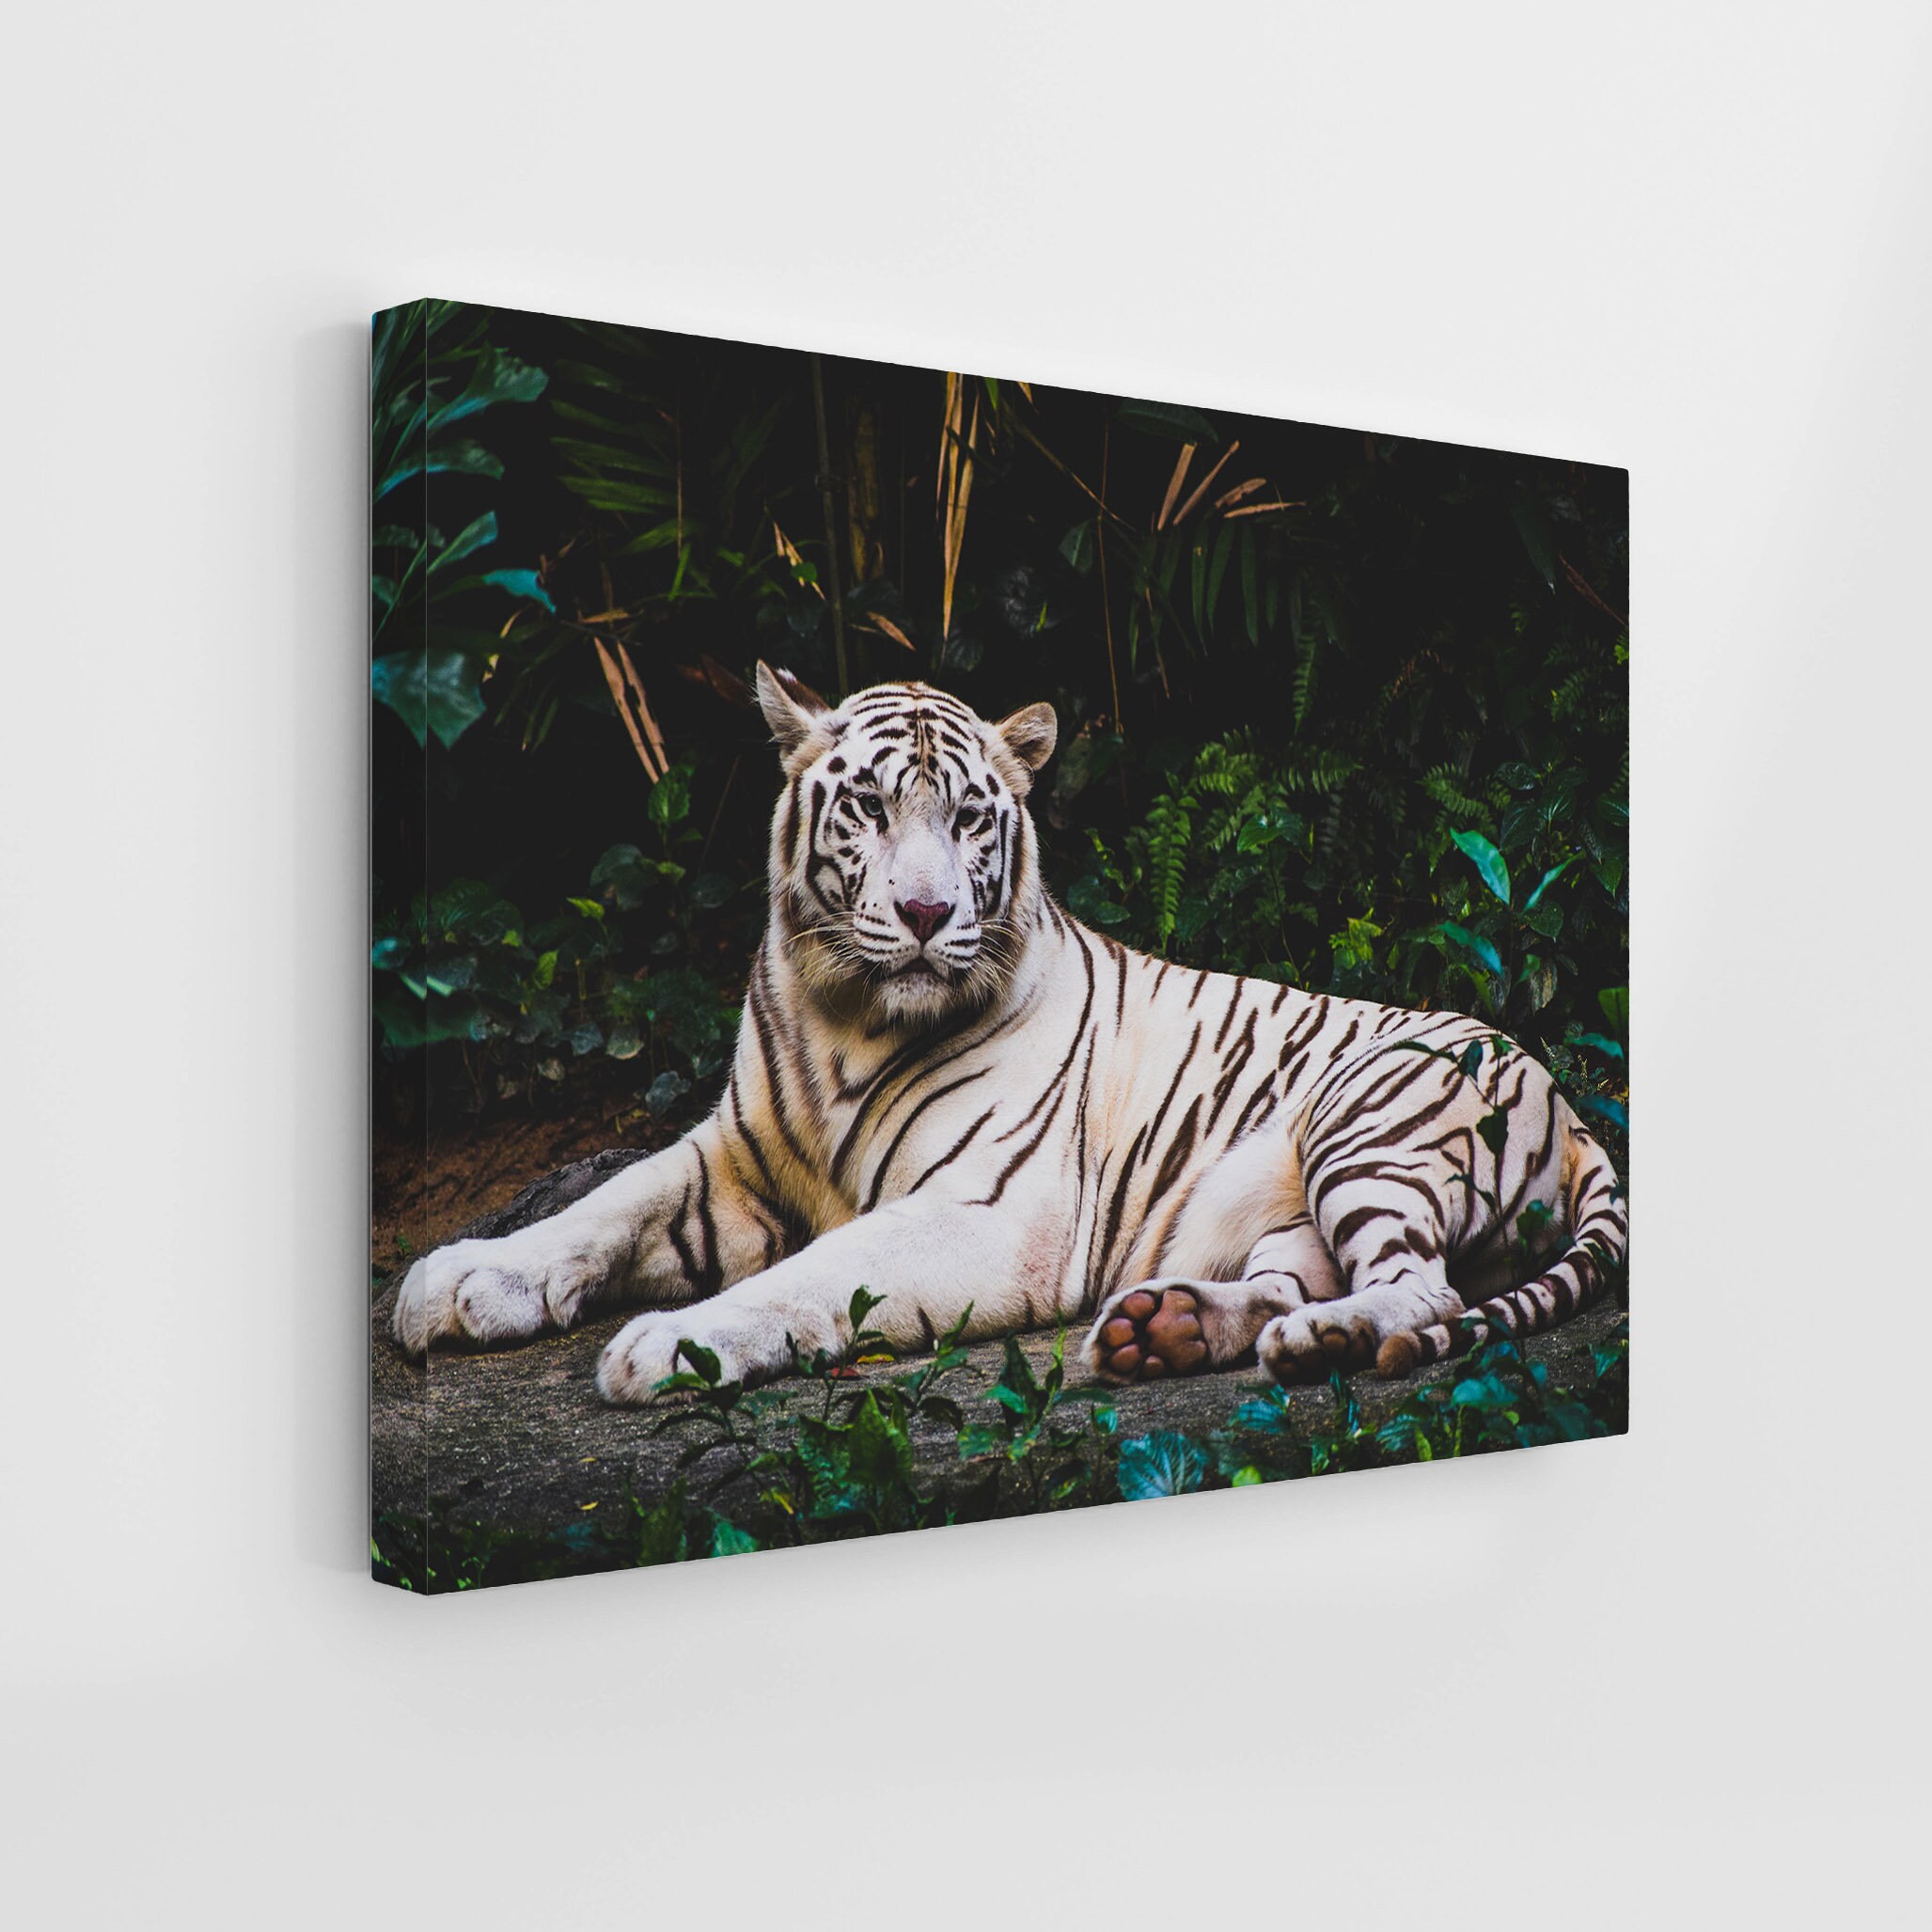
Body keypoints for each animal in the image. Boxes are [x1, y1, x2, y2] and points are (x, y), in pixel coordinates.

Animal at [393, 665, 1627, 1402]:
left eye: (970, 818)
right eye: (870, 807)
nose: (926, 913)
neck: (845, 1017)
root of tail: (1574, 1110)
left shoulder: (988, 1212)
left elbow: (813, 1273)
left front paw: (670, 1344)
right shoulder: (732, 1156)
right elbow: (600, 1206)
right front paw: (460, 1281)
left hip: (1365, 1123)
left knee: (1428, 1293)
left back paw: (1330, 1343)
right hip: (1289, 1212)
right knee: (1299, 1282)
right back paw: (1174, 1331)